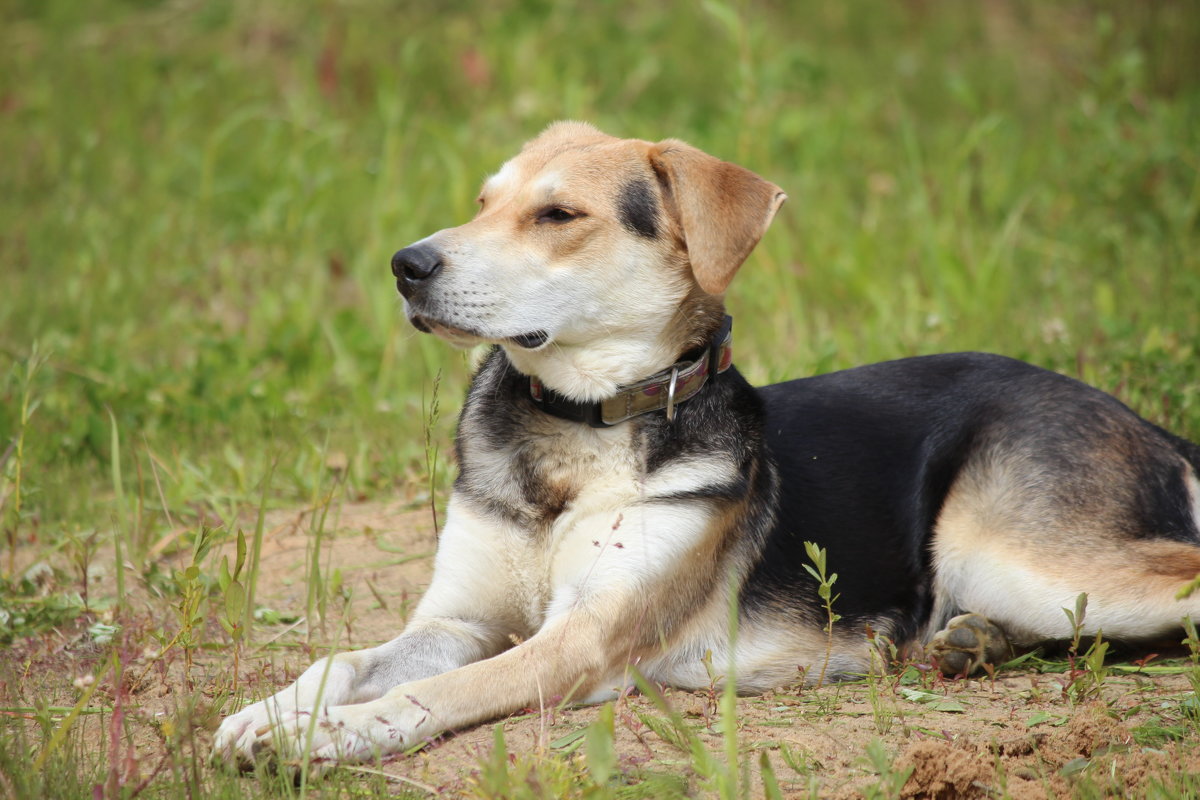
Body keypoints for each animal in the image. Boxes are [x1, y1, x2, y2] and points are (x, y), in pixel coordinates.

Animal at [213, 120, 1200, 767]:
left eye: (557, 216)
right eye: (485, 202)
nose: (406, 265)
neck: (578, 430)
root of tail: (1131, 414)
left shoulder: (580, 640)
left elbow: (430, 693)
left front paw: (321, 735)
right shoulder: (457, 619)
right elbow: (346, 659)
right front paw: (271, 711)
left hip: (1008, 547)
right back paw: (976, 643)